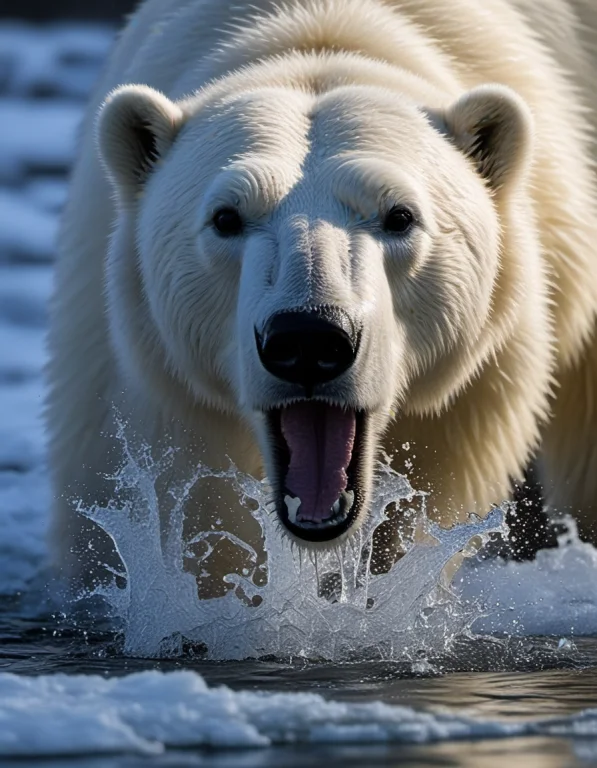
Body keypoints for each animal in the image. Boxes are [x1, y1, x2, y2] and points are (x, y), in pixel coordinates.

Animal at [46, 0, 597, 594]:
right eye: (226, 217)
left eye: (400, 216)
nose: (308, 340)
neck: (317, 30)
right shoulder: (133, 385)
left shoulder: (474, 394)